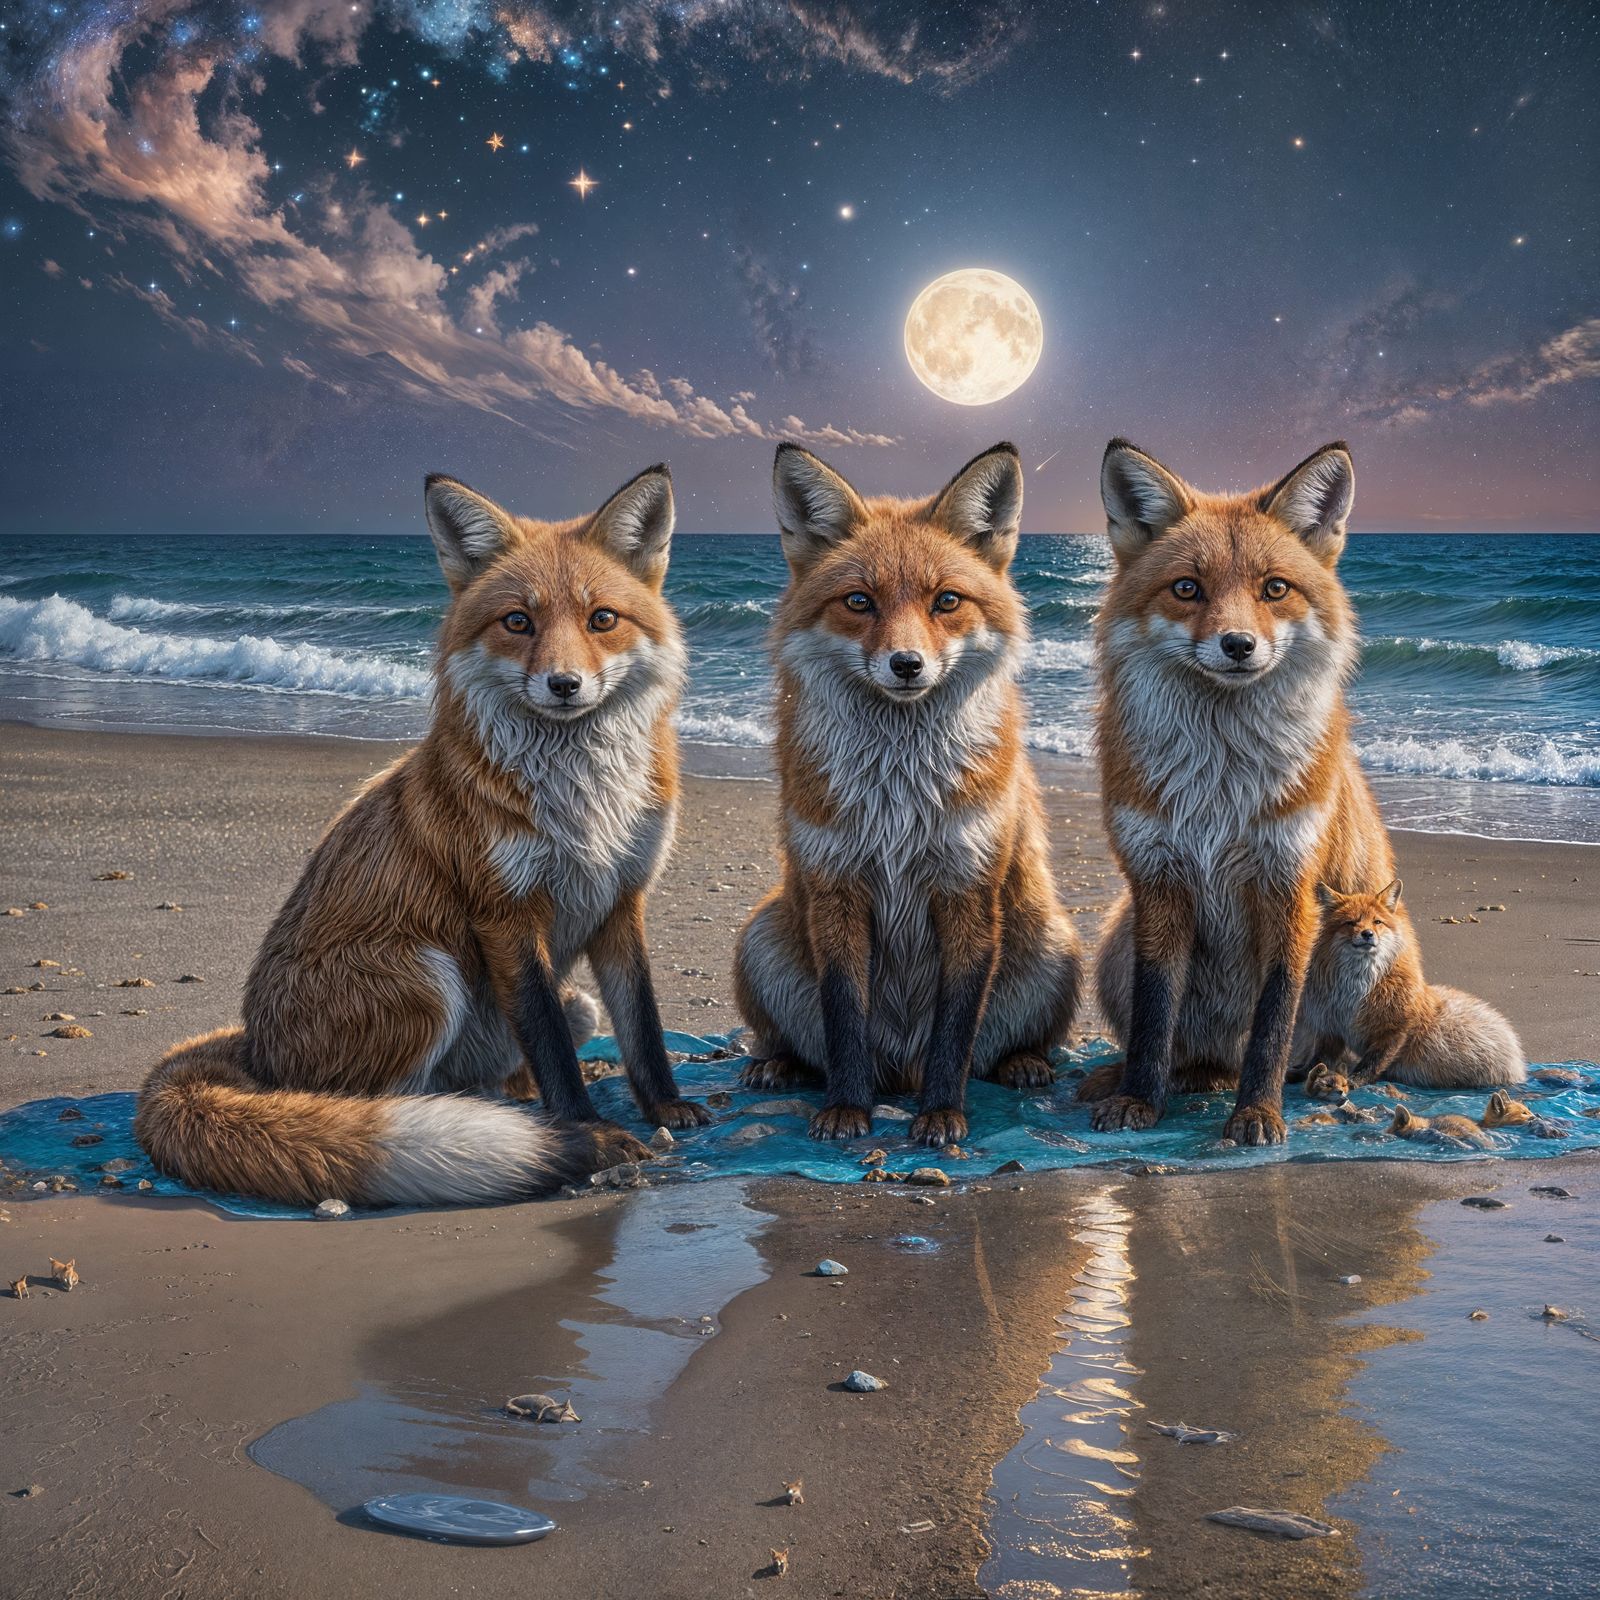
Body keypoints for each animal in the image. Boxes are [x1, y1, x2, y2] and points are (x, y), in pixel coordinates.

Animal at [135, 466, 709, 1208]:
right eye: (518, 622)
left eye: (602, 619)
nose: (564, 684)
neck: (582, 805)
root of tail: (255, 1050)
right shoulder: (506, 913)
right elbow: (551, 1045)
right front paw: (587, 1130)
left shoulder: (620, 899)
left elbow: (643, 1025)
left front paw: (664, 1105)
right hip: (425, 974)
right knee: (373, 1107)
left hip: (562, 1004)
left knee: (501, 1075)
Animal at [733, 442, 1082, 1146]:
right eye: (858, 601)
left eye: (946, 600)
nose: (906, 664)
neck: (898, 800)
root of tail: (899, 1069)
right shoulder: (836, 887)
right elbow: (843, 1019)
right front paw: (847, 1108)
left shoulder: (967, 888)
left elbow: (955, 1032)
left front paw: (942, 1114)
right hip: (758, 937)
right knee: (802, 1043)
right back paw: (778, 1066)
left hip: (1054, 942)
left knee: (1004, 1047)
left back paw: (1024, 1064)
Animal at [1080, 438, 1394, 1145]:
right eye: (1186, 589)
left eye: (1274, 588)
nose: (1238, 645)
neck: (1221, 790)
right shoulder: (1158, 881)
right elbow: (1153, 1016)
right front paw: (1139, 1098)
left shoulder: (1291, 885)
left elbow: (1273, 1025)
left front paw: (1258, 1112)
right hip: (1116, 940)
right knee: (1181, 1050)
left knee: (1323, 1050)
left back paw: (1324, 1079)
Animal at [1291, 881, 1527, 1093]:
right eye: (1350, 922)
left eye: (1377, 922)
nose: (1367, 934)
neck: (1355, 988)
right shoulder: (1331, 1026)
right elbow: (1318, 1059)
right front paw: (1300, 1074)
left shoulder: (1396, 1029)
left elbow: (1371, 1063)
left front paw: (1353, 1082)